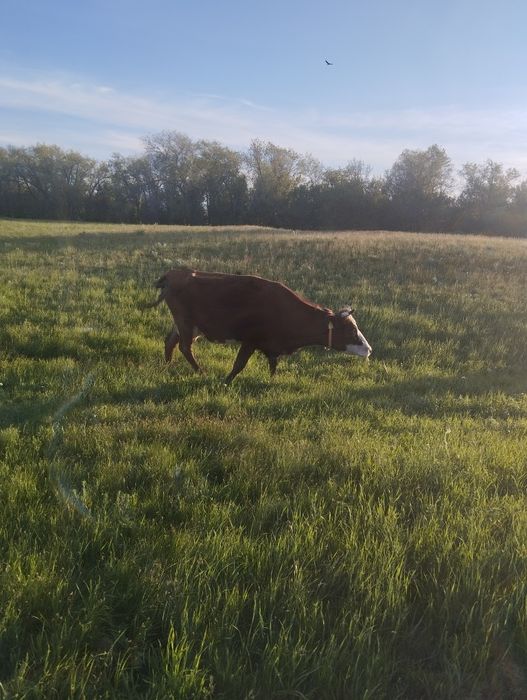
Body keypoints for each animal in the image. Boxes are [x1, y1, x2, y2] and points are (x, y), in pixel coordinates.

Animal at [148, 267, 372, 384]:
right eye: (351, 330)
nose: (369, 349)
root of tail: (175, 273)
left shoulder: (272, 345)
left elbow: (273, 364)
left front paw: (272, 380)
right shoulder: (250, 340)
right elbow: (239, 364)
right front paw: (226, 382)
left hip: (185, 326)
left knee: (169, 342)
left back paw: (167, 365)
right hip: (186, 323)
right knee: (185, 347)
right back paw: (200, 371)